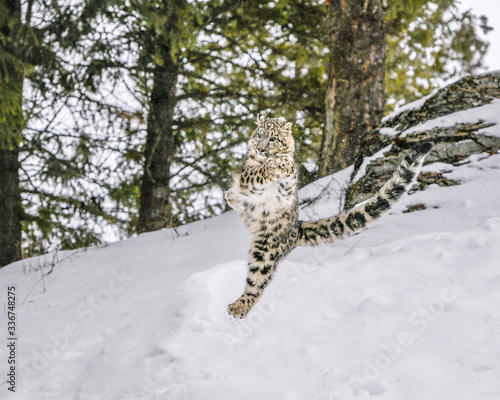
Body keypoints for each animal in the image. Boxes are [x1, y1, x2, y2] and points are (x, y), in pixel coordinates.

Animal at [225, 116, 432, 318]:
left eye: (273, 138)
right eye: (259, 135)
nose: (261, 149)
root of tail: (295, 230)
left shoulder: (286, 187)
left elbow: (285, 171)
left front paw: (282, 164)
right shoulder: (247, 177)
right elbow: (256, 173)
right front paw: (270, 166)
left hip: (268, 247)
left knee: (258, 282)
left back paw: (239, 307)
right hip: (264, 247)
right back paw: (237, 307)